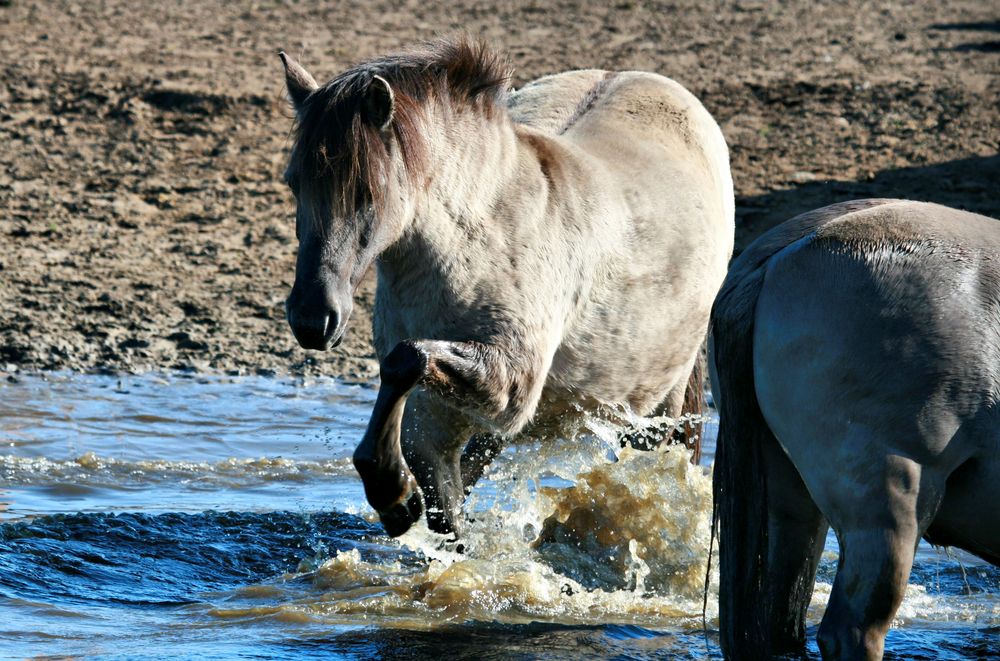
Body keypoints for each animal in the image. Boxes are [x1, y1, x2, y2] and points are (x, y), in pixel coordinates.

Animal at [282, 38, 736, 536]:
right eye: (294, 184)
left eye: (366, 191)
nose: (312, 319)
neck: (481, 239)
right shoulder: (437, 430)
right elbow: (447, 512)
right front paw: (397, 496)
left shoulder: (509, 384)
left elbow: (407, 358)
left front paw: (392, 490)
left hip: (654, 412)